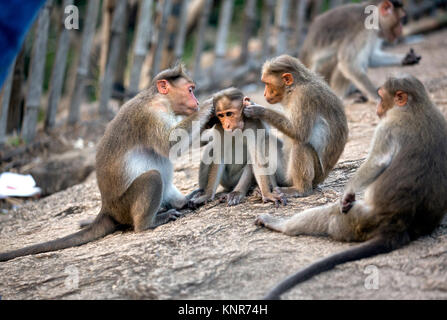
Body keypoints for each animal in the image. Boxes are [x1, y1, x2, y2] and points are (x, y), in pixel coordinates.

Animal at [0, 65, 214, 262]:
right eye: (190, 90)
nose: (196, 101)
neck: (162, 101)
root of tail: (107, 208)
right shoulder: (149, 116)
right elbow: (169, 145)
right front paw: (209, 105)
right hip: (124, 205)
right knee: (153, 177)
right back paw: (148, 223)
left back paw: (181, 202)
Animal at [243, 53, 348, 196]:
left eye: (267, 83)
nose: (264, 94)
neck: (293, 89)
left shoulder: (305, 96)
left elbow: (299, 132)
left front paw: (258, 110)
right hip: (285, 173)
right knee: (267, 141)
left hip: (309, 176)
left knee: (301, 144)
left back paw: (300, 189)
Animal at [256, 75, 447, 300]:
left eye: (382, 97)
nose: (378, 107)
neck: (418, 106)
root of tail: (399, 227)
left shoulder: (388, 125)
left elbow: (377, 161)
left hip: (357, 220)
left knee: (328, 210)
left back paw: (281, 221)